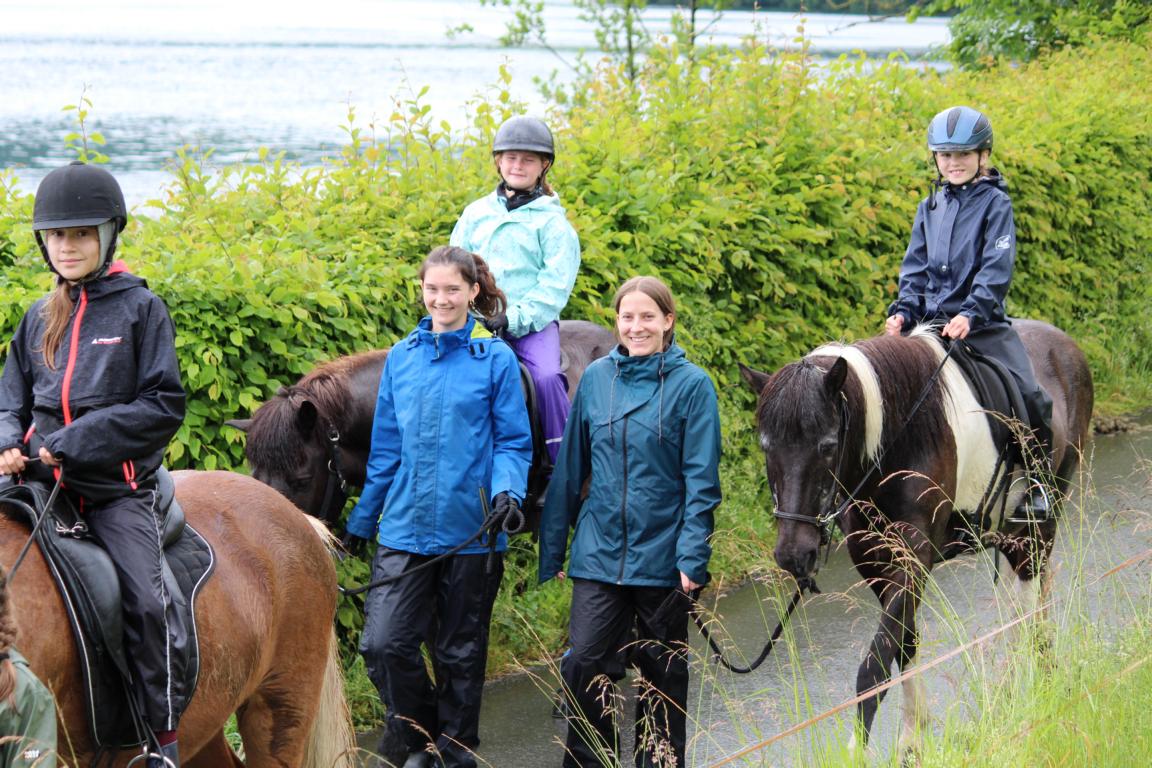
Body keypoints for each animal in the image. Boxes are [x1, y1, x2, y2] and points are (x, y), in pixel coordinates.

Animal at [739, 320, 1093, 748]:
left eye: (827, 445)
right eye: (766, 446)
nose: (794, 553)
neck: (896, 444)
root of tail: (1064, 342)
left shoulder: (914, 560)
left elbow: (873, 669)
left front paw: (860, 752)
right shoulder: (877, 564)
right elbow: (903, 647)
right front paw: (913, 741)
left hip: (1040, 521)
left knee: (1028, 605)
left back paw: (1031, 688)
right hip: (1011, 534)